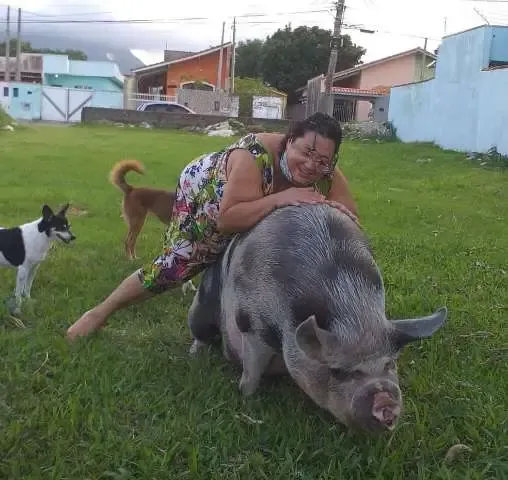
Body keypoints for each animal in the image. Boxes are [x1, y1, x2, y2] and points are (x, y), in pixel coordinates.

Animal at [186, 202, 444, 436]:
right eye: (337, 371)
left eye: (390, 363)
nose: (385, 401)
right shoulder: (250, 324)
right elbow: (252, 369)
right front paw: (246, 398)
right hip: (201, 308)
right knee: (200, 332)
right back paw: (194, 354)